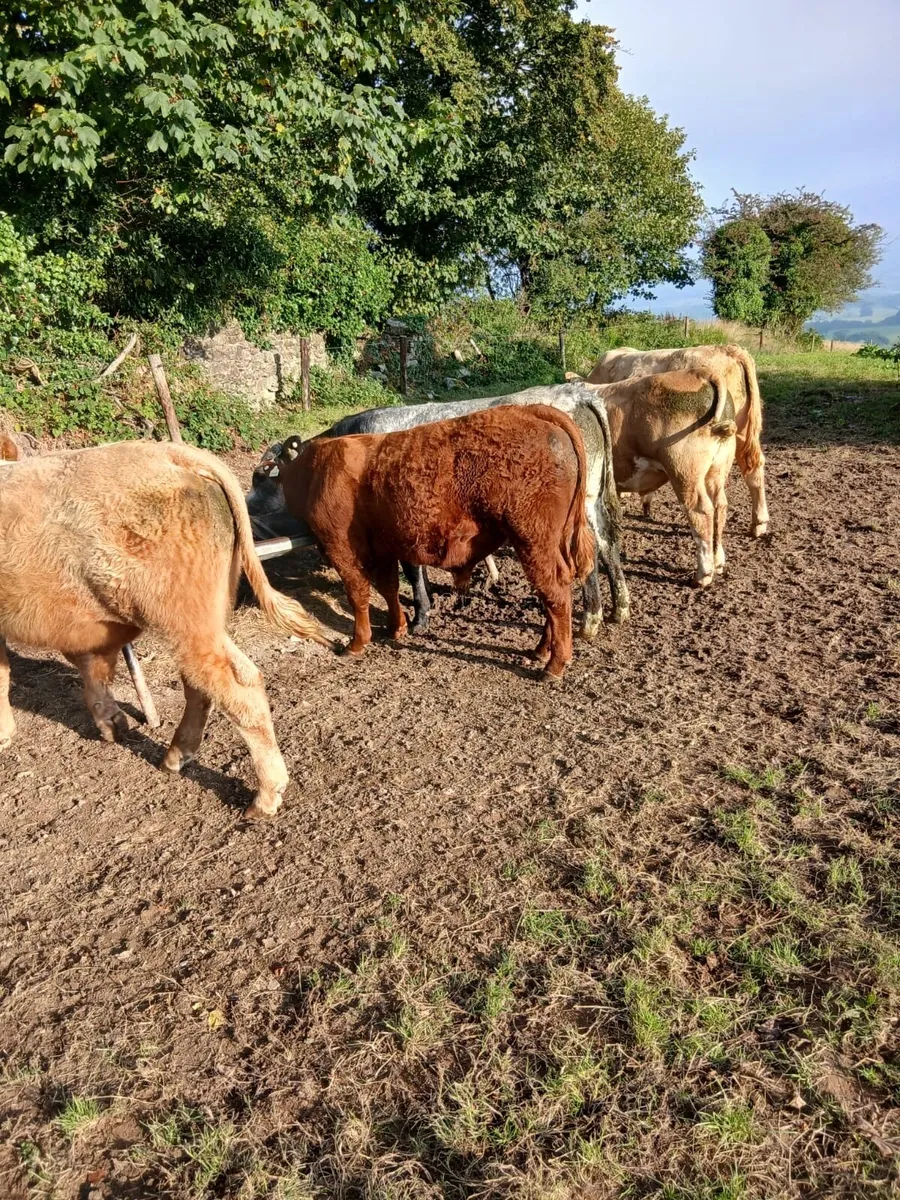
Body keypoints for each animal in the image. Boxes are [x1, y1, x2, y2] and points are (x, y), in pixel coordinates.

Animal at [0, 441, 331, 817]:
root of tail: (173, 453)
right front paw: (112, 723)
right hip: (202, 624)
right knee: (209, 683)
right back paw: (175, 757)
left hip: (183, 622)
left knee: (233, 686)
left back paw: (264, 796)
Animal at [247, 381, 627, 640]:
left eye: (263, 475)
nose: (246, 508)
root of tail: (576, 391)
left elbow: (413, 571)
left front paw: (420, 618)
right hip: (592, 497)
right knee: (607, 542)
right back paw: (618, 608)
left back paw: (589, 619)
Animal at [278, 405, 597, 680]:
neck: (317, 470)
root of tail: (529, 409)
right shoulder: (383, 547)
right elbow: (388, 587)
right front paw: (397, 628)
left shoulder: (340, 547)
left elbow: (358, 594)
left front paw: (357, 643)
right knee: (558, 590)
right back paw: (542, 650)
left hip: (533, 541)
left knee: (555, 594)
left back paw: (554, 665)